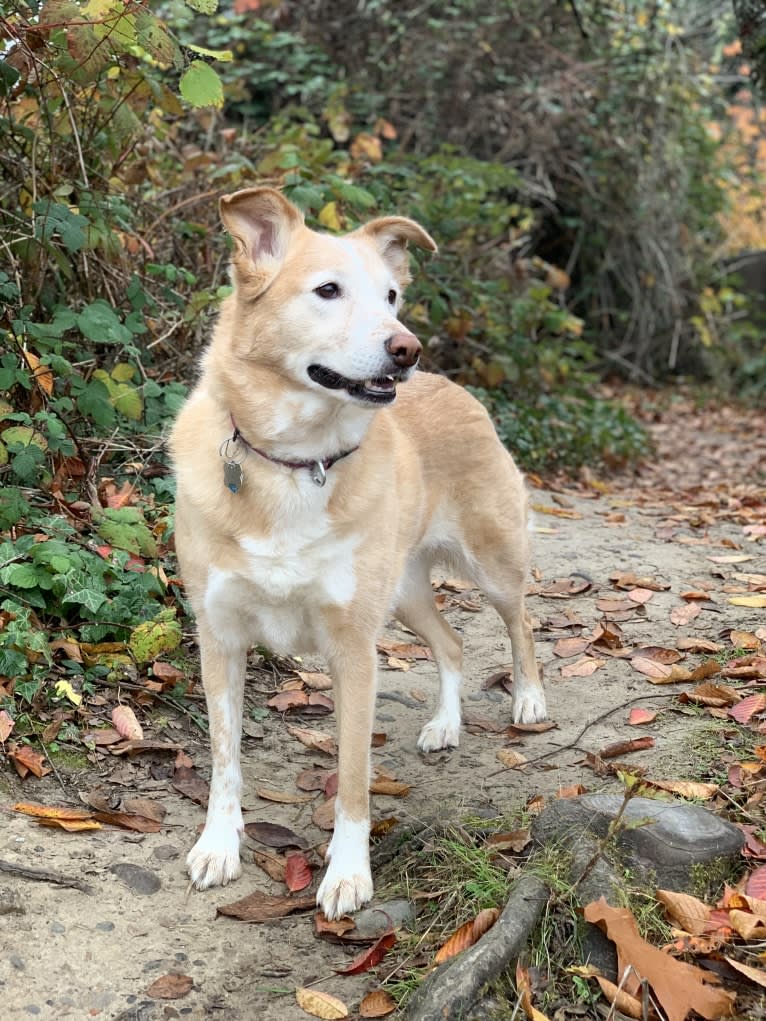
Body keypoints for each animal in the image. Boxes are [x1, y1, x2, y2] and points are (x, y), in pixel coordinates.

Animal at [171, 187, 547, 922]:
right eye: (327, 290)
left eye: (393, 296)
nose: (406, 348)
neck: (295, 463)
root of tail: (453, 383)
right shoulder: (219, 637)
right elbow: (225, 760)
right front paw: (219, 845)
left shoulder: (354, 651)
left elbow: (351, 778)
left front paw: (347, 873)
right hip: (402, 596)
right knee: (453, 643)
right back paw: (444, 725)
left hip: (491, 562)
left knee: (520, 621)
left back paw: (528, 700)